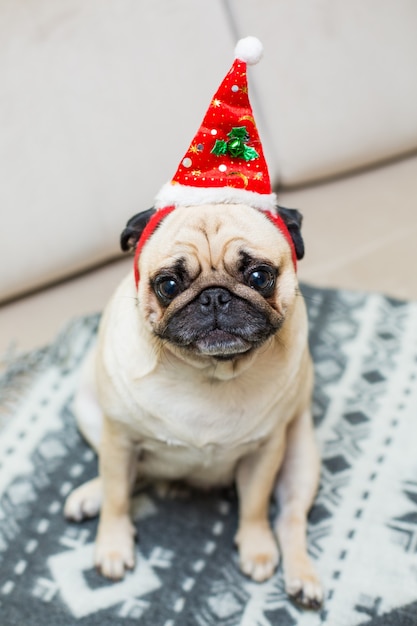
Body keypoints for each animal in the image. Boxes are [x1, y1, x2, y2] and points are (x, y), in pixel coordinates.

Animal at [64, 202, 322, 608]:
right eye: (168, 285)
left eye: (260, 277)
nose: (214, 296)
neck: (209, 371)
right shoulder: (120, 440)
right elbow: (118, 496)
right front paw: (113, 547)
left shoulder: (265, 451)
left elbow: (255, 505)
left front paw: (257, 547)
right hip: (89, 412)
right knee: (127, 477)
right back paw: (91, 495)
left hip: (300, 456)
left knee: (290, 519)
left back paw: (302, 578)